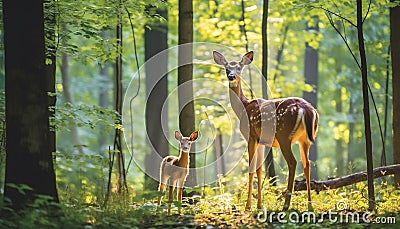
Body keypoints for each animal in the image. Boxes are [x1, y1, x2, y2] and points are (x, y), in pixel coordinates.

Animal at [212, 50, 318, 211]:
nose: (231, 76)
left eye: (239, 68)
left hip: (283, 135)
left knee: (293, 162)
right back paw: (310, 205)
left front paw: (248, 206)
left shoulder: (251, 136)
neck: (243, 108)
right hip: (304, 139)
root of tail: (305, 108)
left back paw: (286, 205)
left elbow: (251, 169)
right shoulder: (261, 141)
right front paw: (259, 205)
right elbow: (260, 169)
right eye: (226, 68)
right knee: (307, 164)